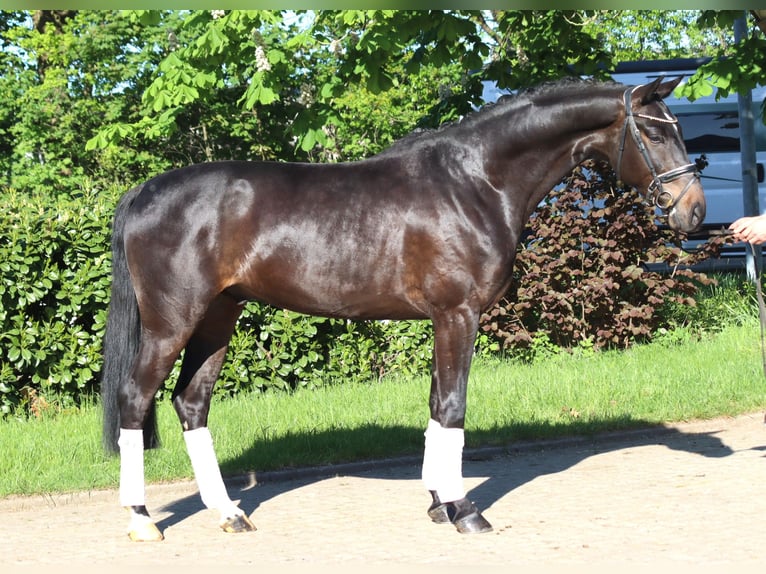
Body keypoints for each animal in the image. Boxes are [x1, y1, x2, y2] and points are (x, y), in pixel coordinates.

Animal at [101, 76, 705, 541]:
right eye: (654, 130)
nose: (693, 211)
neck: (476, 182)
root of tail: (144, 192)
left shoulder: (445, 318)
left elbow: (437, 405)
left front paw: (439, 502)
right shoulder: (459, 314)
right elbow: (454, 407)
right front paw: (466, 512)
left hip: (219, 316)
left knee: (191, 402)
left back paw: (228, 513)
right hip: (173, 322)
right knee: (135, 399)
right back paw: (141, 519)